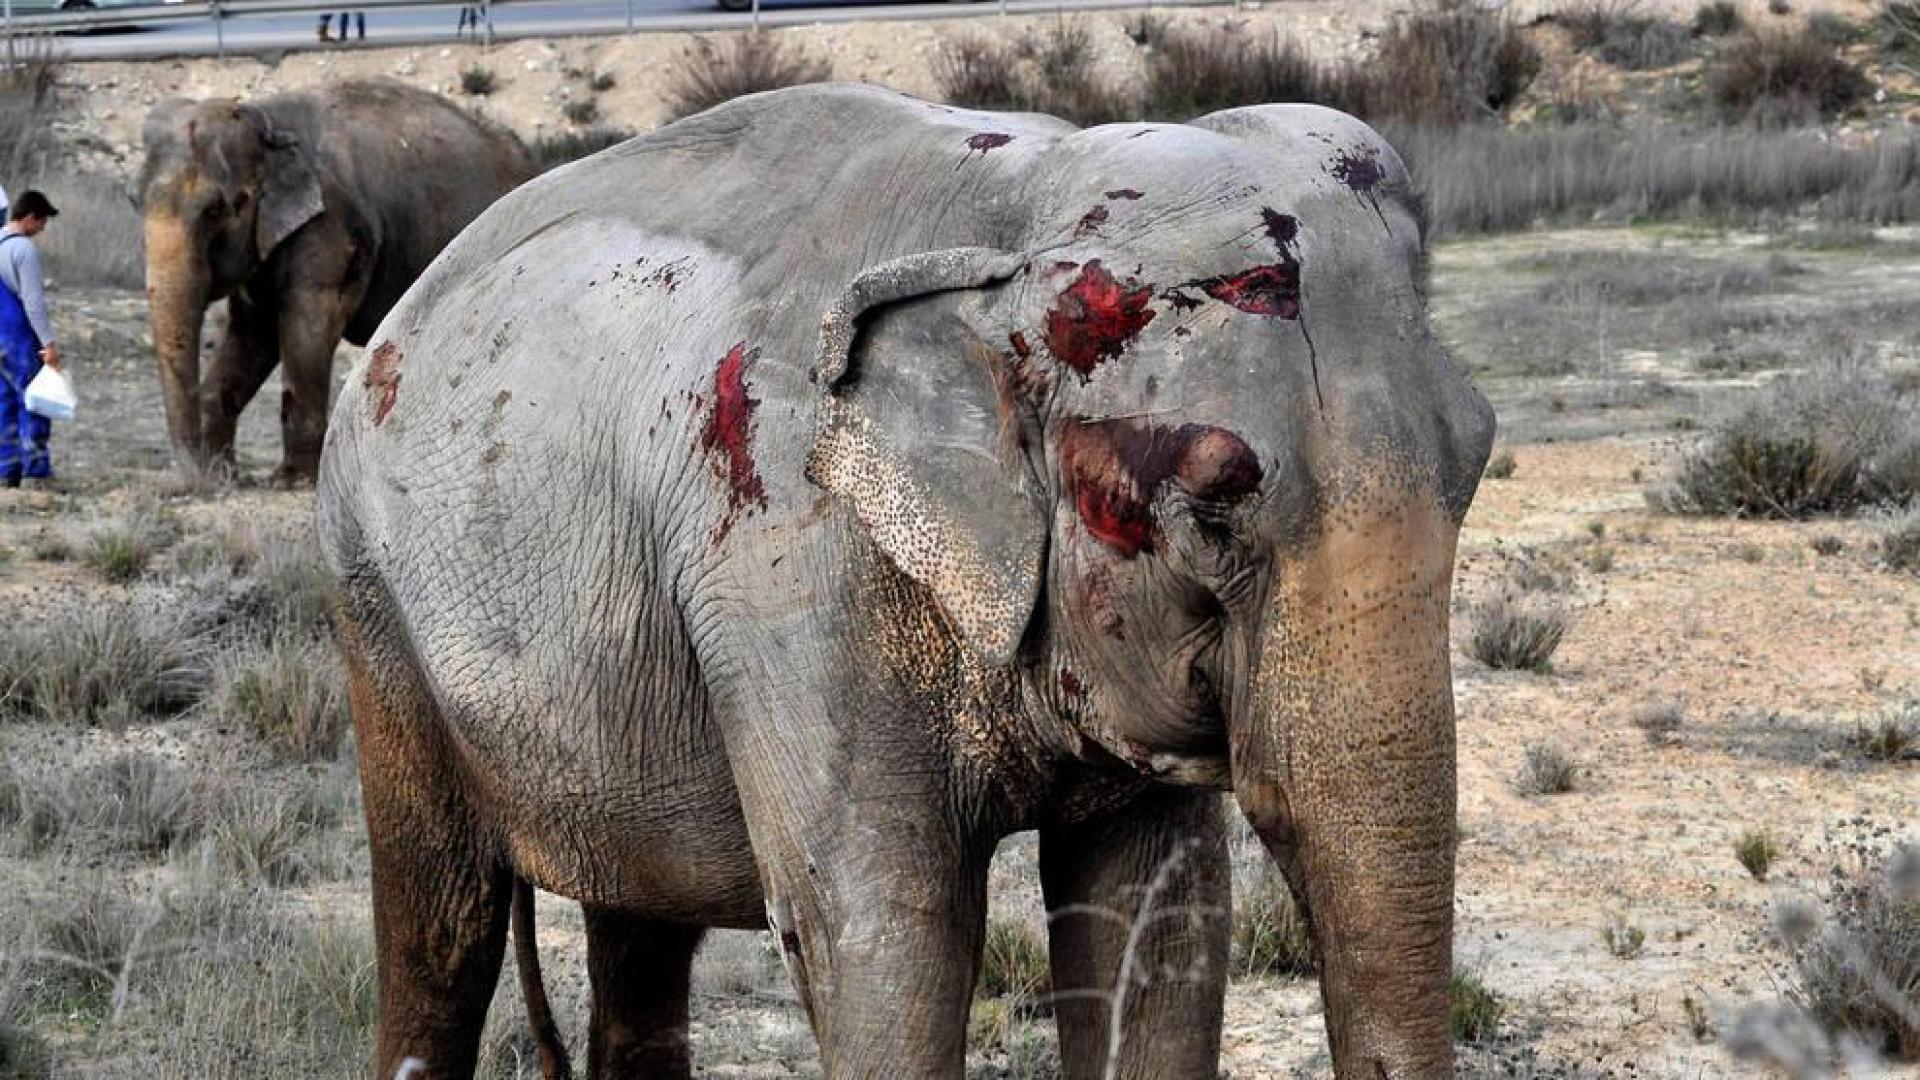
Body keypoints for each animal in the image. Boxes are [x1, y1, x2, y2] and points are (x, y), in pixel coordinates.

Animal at [139, 80, 534, 482]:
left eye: (214, 210)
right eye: (135, 200)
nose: (197, 482)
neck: (267, 118)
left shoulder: (332, 225)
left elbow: (306, 328)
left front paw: (291, 480)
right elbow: (251, 335)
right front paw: (228, 474)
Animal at [316, 83, 1495, 1079]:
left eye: (1478, 456)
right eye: (1212, 510)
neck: (1015, 214)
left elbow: (1151, 920)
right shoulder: (789, 570)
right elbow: (885, 936)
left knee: (640, 933)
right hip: (371, 599)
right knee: (443, 919)